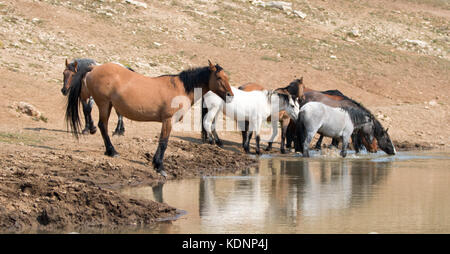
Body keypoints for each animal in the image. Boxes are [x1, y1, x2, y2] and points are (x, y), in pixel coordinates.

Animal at [67, 60, 236, 178]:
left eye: (227, 77)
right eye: (219, 77)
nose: (230, 95)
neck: (180, 88)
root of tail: (95, 68)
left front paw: (156, 164)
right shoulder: (168, 120)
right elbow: (163, 143)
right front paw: (160, 167)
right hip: (103, 104)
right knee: (103, 126)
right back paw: (112, 151)